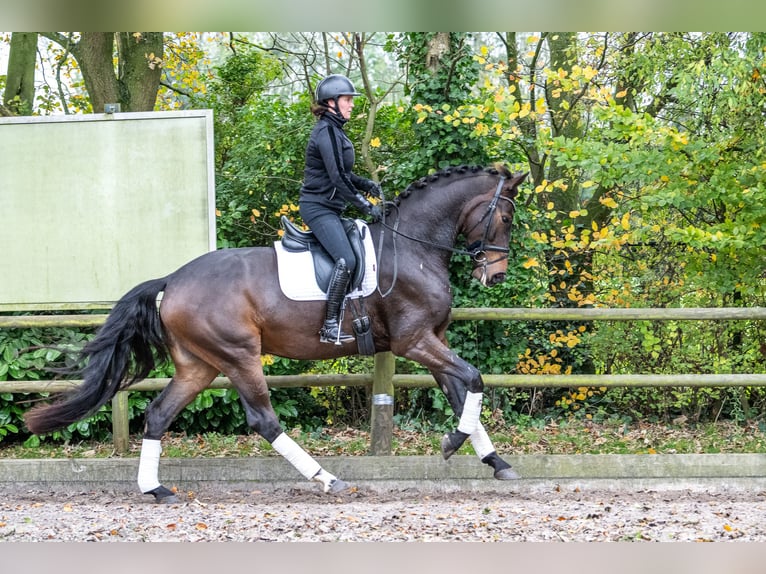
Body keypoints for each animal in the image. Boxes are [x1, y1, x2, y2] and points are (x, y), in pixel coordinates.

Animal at [24, 163, 528, 504]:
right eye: (505, 218)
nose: (496, 275)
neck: (411, 249)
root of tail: (174, 279)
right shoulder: (415, 341)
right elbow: (474, 379)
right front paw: (453, 444)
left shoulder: (433, 339)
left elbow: (462, 394)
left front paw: (495, 462)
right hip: (238, 355)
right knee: (264, 419)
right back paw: (326, 479)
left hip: (198, 365)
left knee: (159, 414)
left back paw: (156, 489)